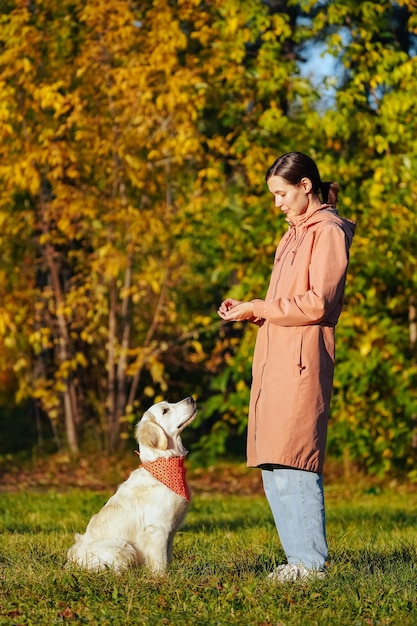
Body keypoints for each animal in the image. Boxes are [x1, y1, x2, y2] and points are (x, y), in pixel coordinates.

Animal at [67, 394, 197, 572]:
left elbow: (168, 558)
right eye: (165, 410)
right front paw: (162, 577)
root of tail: (72, 560)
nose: (191, 398)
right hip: (123, 547)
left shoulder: (170, 531)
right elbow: (160, 563)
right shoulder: (158, 529)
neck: (164, 462)